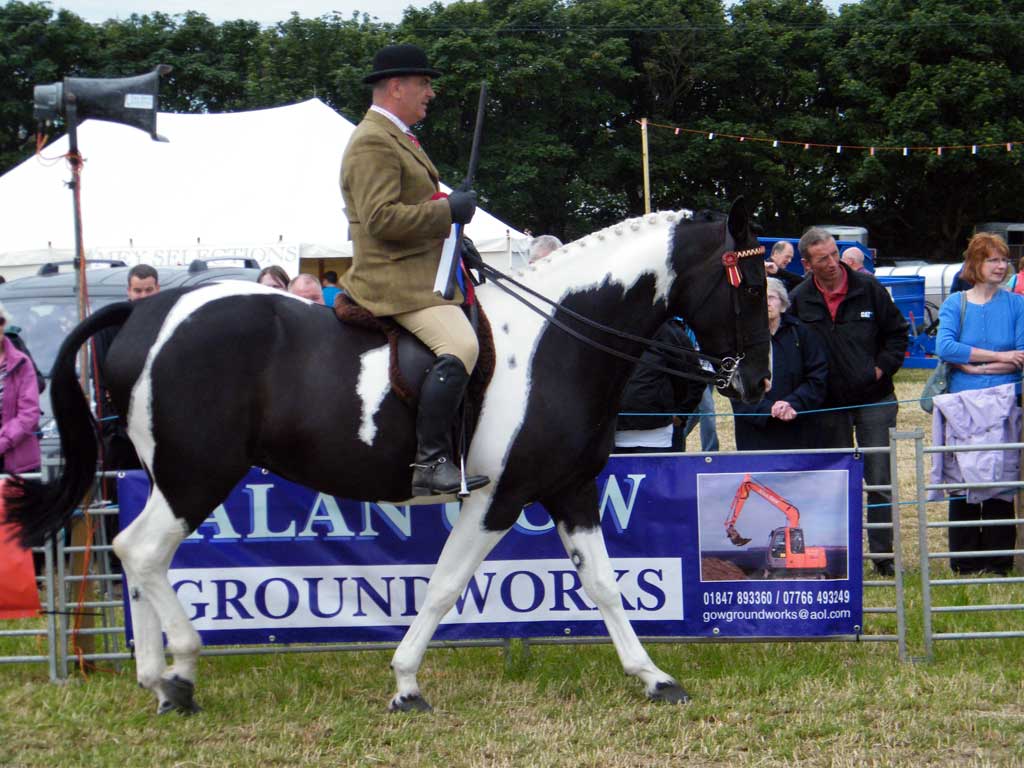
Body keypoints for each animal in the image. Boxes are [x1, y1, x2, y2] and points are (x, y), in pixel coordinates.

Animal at [2, 198, 770, 716]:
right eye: (748, 286)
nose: (757, 385)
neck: (556, 342)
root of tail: (144, 312)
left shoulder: (572, 490)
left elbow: (606, 587)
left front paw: (655, 678)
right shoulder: (499, 496)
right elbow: (444, 586)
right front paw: (405, 684)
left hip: (171, 474)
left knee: (134, 554)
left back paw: (158, 678)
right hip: (198, 473)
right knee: (140, 552)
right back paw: (182, 672)